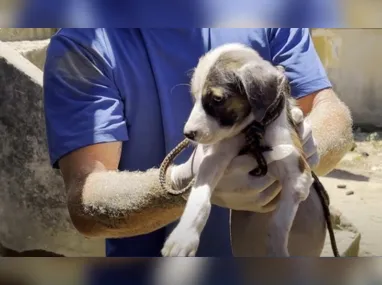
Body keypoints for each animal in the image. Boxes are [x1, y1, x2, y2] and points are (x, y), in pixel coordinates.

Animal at [161, 43, 314, 256]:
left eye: (217, 99)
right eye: (194, 96)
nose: (188, 134)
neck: (252, 132)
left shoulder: (298, 173)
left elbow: (278, 224)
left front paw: (277, 252)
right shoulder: (213, 160)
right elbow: (200, 200)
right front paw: (183, 238)